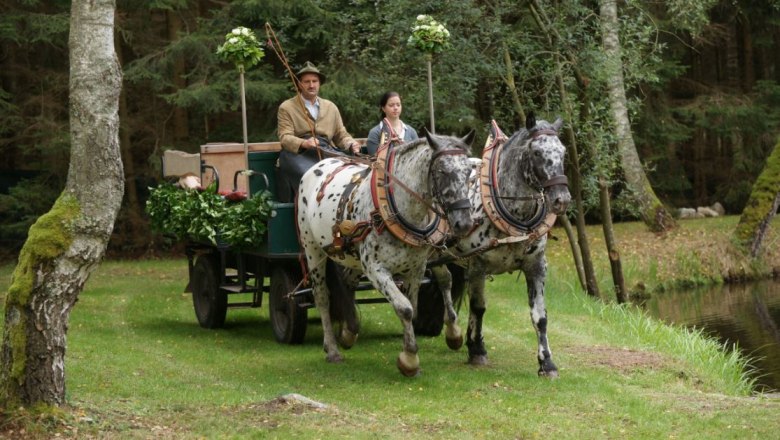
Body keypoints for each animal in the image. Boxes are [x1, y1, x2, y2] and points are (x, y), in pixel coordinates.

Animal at [294, 130, 472, 374]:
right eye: (442, 171)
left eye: (469, 171)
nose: (464, 223)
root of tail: (317, 165)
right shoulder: (376, 270)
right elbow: (405, 308)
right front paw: (409, 359)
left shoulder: (416, 269)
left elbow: (413, 307)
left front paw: (410, 348)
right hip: (313, 251)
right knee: (322, 296)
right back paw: (332, 349)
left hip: (352, 257)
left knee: (347, 283)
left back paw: (349, 331)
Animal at [426, 113, 572, 378]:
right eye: (537, 152)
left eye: (563, 151)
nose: (561, 199)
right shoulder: (477, 266)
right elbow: (478, 307)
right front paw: (477, 350)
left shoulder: (536, 266)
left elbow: (540, 317)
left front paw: (547, 363)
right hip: (433, 253)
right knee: (443, 282)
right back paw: (451, 331)